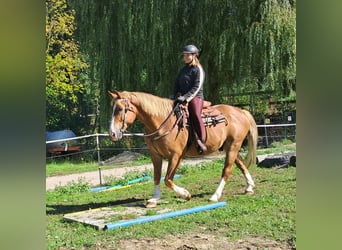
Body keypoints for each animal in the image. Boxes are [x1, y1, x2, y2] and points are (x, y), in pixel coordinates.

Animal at [108, 90, 258, 207]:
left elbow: (168, 179)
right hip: (229, 147)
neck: (162, 122)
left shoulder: (176, 156)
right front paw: (154, 199)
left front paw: (185, 194)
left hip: (233, 146)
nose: (112, 133)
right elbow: (157, 177)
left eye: (120, 109)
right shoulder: (155, 155)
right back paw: (249, 187)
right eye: (112, 109)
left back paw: (215, 196)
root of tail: (240, 111)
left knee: (227, 170)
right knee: (241, 164)